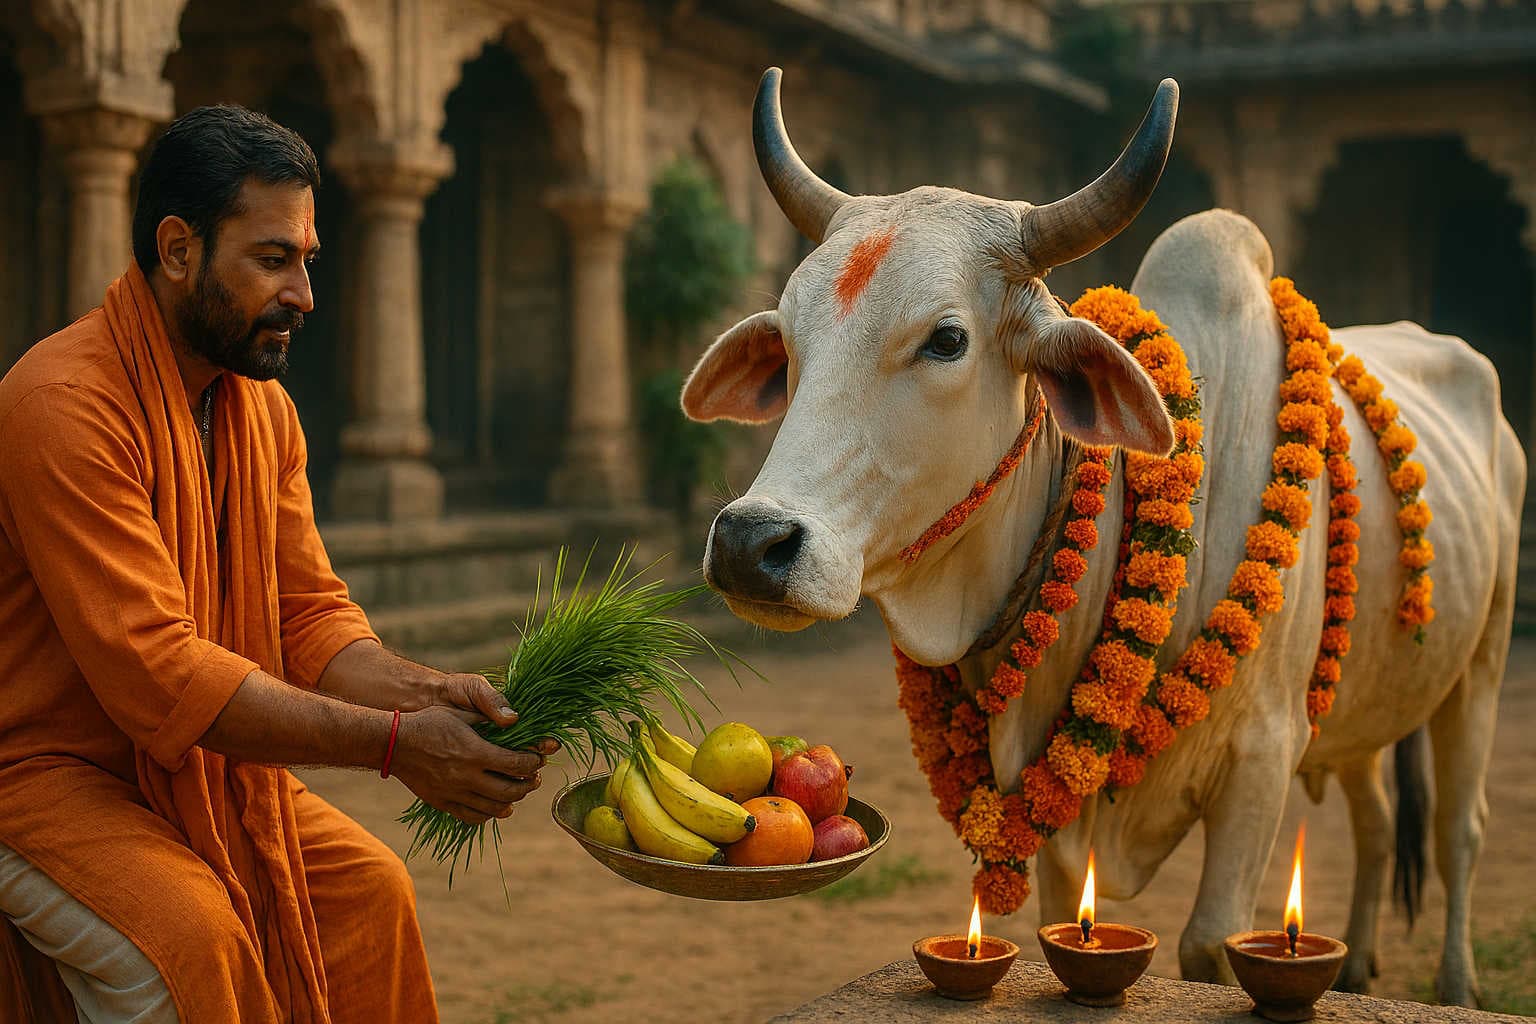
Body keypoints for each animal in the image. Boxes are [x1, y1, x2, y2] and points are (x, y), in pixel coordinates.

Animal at [681, 68, 1523, 1008]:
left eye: (947, 339)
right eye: (790, 340)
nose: (750, 543)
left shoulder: (1263, 757)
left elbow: (1208, 944)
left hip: (1480, 662)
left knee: (1458, 829)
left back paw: (1456, 984)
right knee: (1377, 821)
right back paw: (1367, 963)